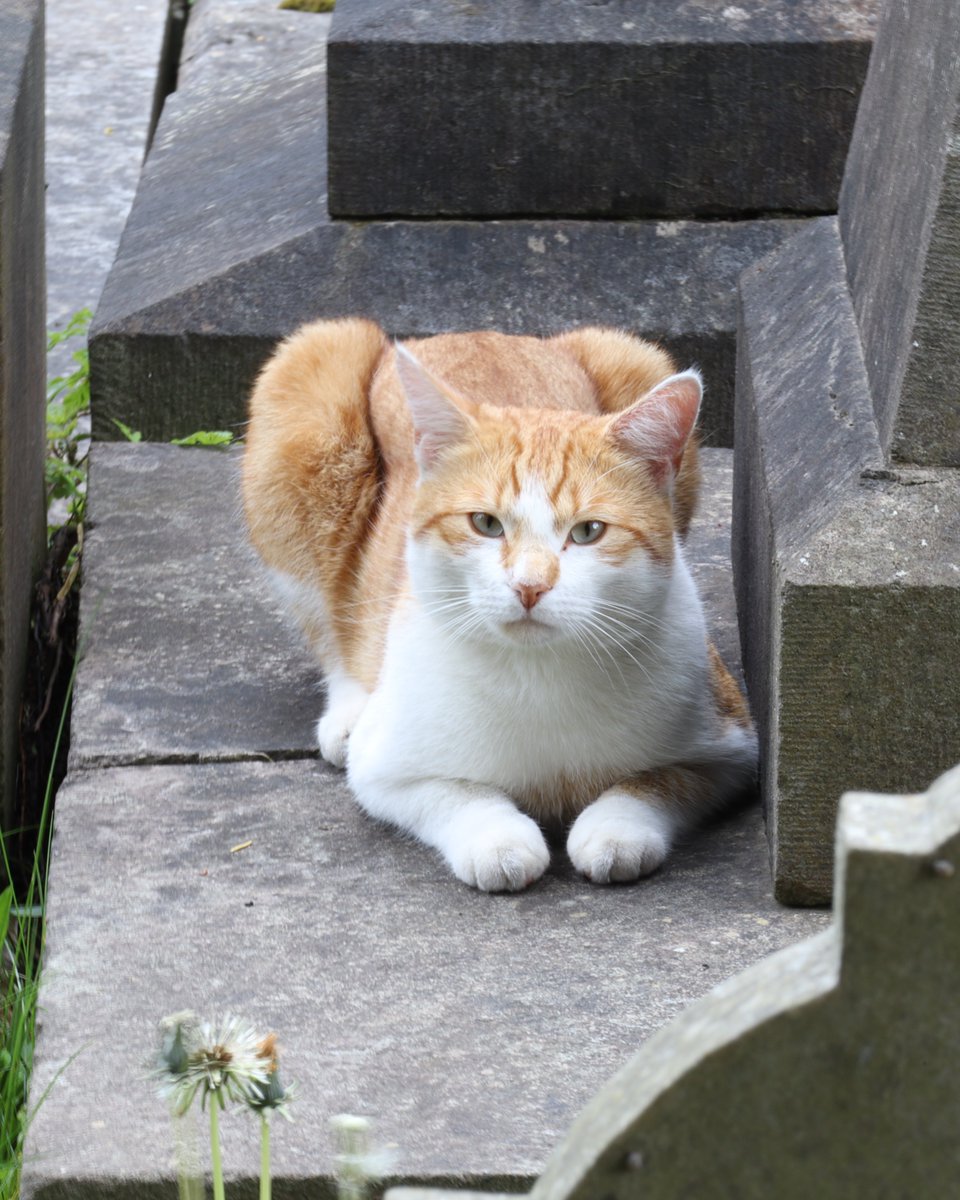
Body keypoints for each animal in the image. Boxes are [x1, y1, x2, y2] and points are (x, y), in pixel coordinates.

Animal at [243, 319, 763, 892]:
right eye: (485, 523)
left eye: (588, 531)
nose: (529, 586)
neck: (538, 676)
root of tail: (475, 331)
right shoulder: (383, 765)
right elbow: (455, 792)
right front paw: (499, 841)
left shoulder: (730, 748)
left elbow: (658, 782)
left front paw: (616, 830)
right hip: (313, 391)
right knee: (329, 623)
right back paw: (346, 709)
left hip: (634, 357)